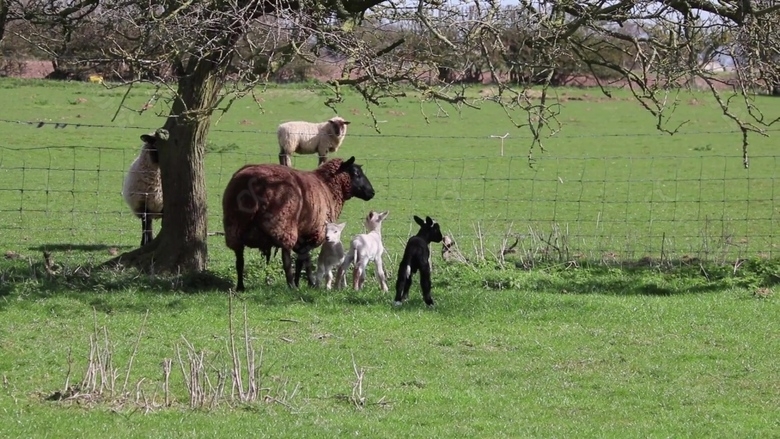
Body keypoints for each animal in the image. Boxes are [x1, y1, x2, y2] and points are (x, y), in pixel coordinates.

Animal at [221, 155, 376, 292]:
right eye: (356, 173)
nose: (372, 192)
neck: (328, 187)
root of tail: (251, 185)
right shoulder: (314, 231)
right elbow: (306, 261)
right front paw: (309, 283)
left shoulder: (302, 234)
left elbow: (301, 260)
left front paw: (302, 282)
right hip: (283, 225)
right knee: (286, 260)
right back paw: (291, 286)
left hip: (235, 227)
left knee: (239, 260)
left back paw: (240, 287)